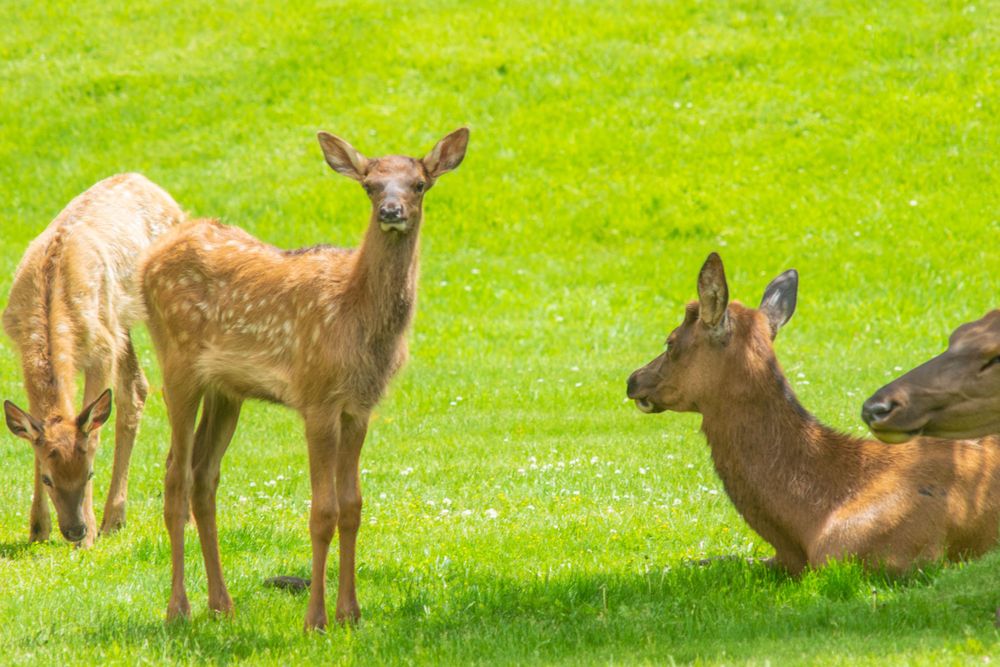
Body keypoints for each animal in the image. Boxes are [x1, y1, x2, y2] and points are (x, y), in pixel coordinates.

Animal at [3, 173, 185, 547]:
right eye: (48, 478)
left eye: (89, 473)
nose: (74, 530)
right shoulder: (20, 348)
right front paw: (37, 530)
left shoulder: (100, 349)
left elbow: (96, 432)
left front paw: (87, 539)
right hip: (121, 324)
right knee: (137, 388)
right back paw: (115, 519)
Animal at [139, 128, 469, 629]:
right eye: (370, 185)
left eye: (419, 184)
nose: (391, 211)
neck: (356, 318)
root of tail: (146, 262)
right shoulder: (317, 397)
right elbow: (322, 511)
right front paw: (316, 619)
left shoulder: (359, 407)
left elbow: (352, 507)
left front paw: (350, 613)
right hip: (176, 364)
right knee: (175, 474)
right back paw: (179, 609)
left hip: (226, 390)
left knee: (203, 476)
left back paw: (222, 604)